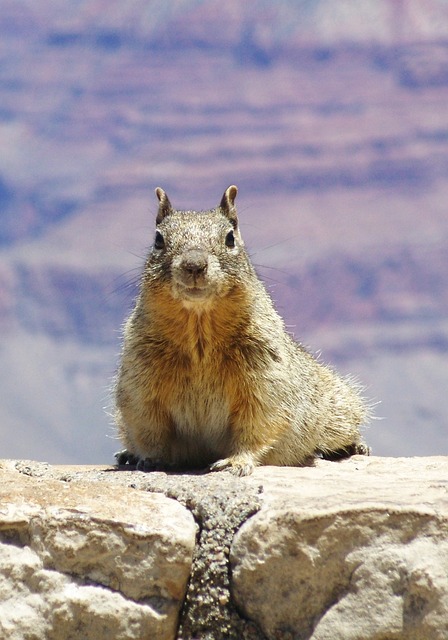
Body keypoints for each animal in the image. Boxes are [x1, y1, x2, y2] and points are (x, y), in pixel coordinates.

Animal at [114, 186, 370, 476]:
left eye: (230, 238)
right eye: (158, 239)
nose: (194, 265)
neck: (198, 328)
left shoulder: (263, 375)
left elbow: (257, 423)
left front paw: (236, 462)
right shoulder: (141, 381)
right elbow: (149, 427)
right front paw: (150, 459)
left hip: (337, 409)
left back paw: (354, 446)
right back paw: (127, 454)